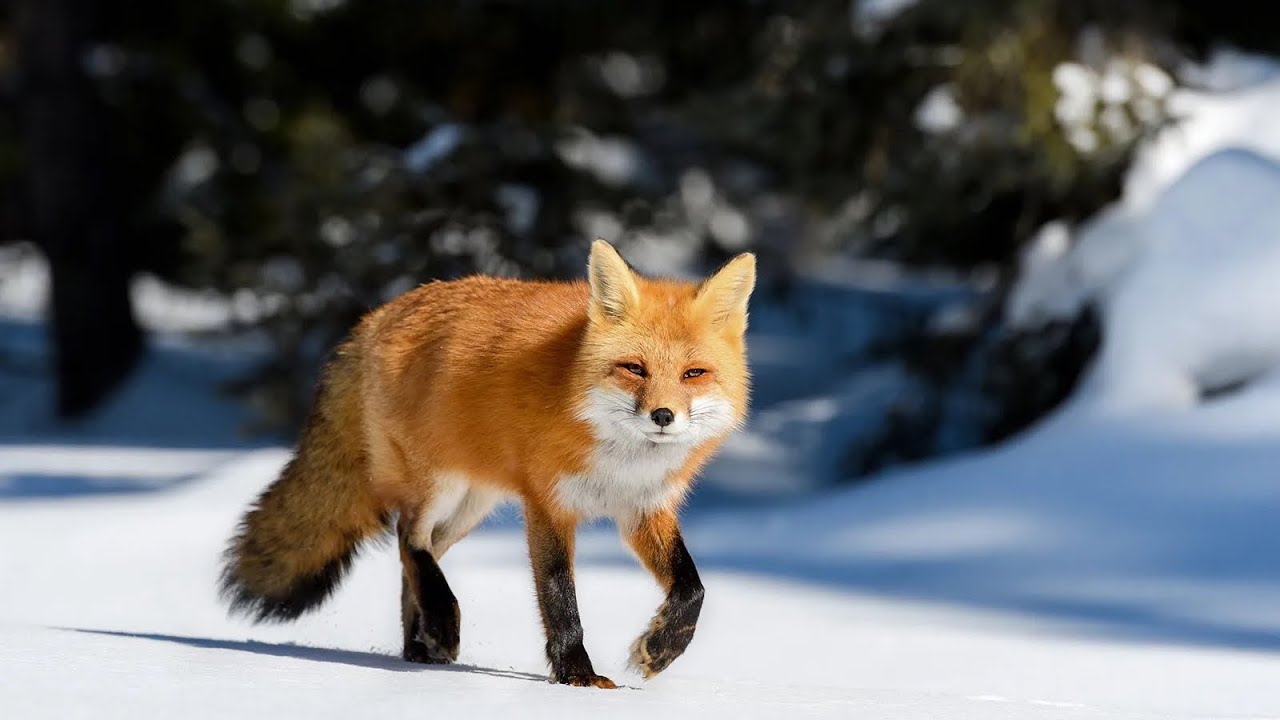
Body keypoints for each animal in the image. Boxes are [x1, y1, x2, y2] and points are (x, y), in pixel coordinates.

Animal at [220, 239, 755, 688]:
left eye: (693, 374)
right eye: (634, 369)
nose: (662, 415)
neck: (619, 461)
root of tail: (380, 314)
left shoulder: (643, 509)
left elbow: (692, 588)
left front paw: (659, 649)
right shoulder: (547, 504)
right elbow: (560, 598)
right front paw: (578, 678)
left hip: (471, 507)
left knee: (415, 558)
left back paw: (419, 647)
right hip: (438, 486)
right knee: (408, 537)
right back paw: (441, 623)